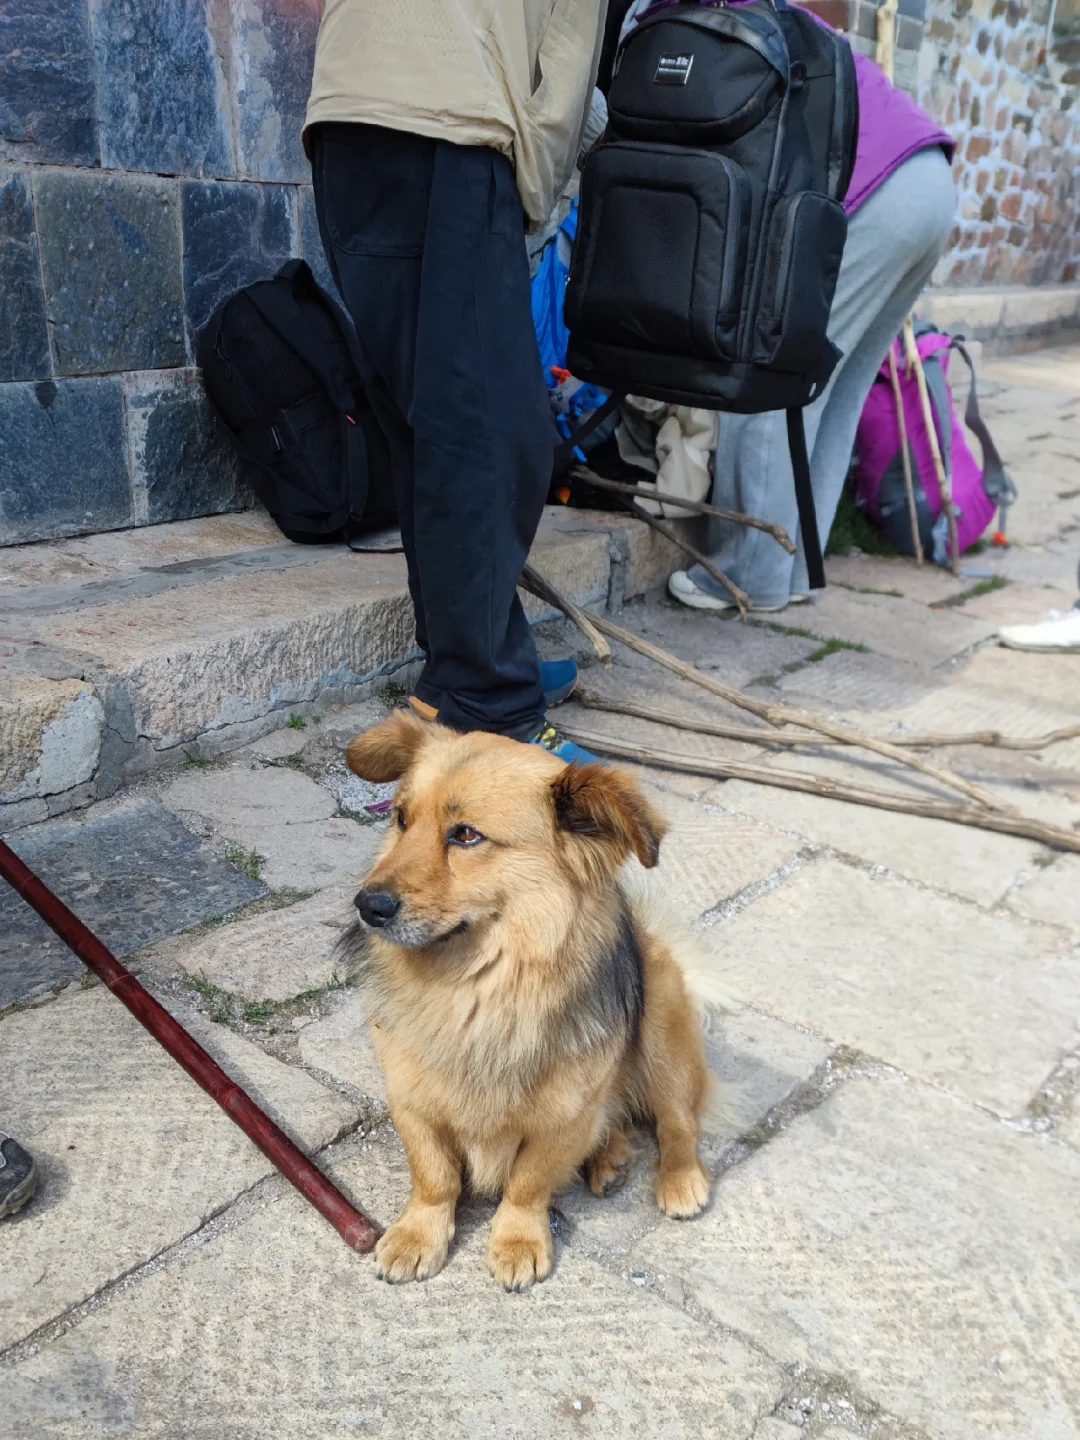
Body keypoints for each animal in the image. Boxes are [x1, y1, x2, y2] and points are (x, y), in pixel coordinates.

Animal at [341, 710, 719, 1291]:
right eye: (401, 819)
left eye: (466, 835)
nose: (368, 905)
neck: (476, 987)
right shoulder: (411, 1098)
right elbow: (434, 1176)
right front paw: (418, 1234)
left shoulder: (562, 1118)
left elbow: (527, 1183)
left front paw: (517, 1240)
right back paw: (609, 1158)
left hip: (661, 1029)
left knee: (677, 1119)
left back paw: (679, 1180)